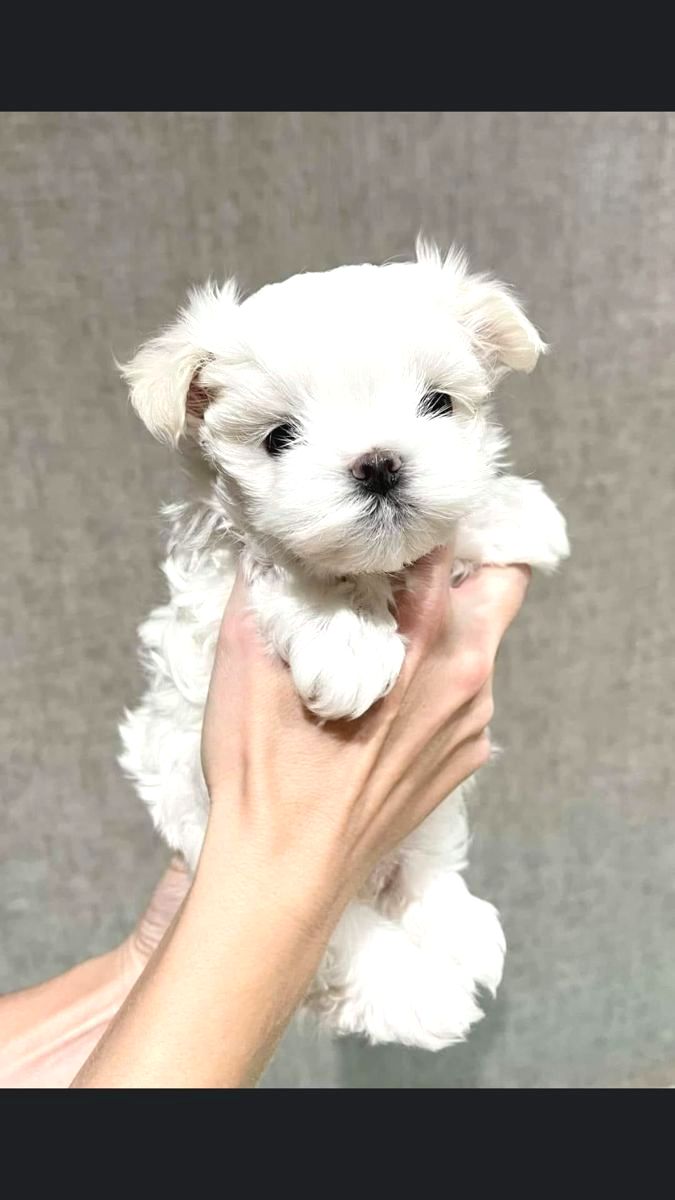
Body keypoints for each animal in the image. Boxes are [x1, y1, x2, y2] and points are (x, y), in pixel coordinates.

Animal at [119, 238, 569, 1050]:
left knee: (427, 861)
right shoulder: (218, 596)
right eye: (278, 438)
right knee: (345, 935)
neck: (376, 572)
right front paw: (344, 637)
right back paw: (417, 991)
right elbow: (281, 568)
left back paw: (454, 926)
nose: (379, 462)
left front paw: (512, 510)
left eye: (438, 403)